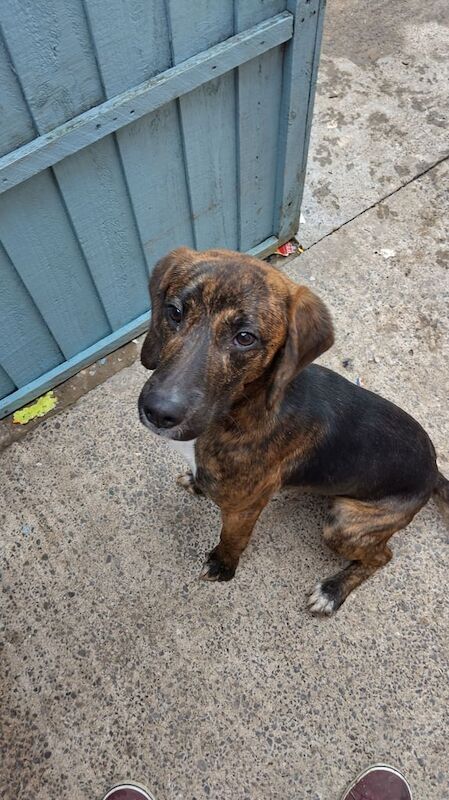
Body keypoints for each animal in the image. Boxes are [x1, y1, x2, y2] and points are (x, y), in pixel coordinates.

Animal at [138, 244, 446, 612]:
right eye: (174, 312)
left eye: (245, 338)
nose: (158, 412)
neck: (243, 406)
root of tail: (433, 471)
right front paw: (196, 483)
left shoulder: (244, 508)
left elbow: (232, 538)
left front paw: (222, 566)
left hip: (344, 522)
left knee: (382, 556)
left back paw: (332, 590)